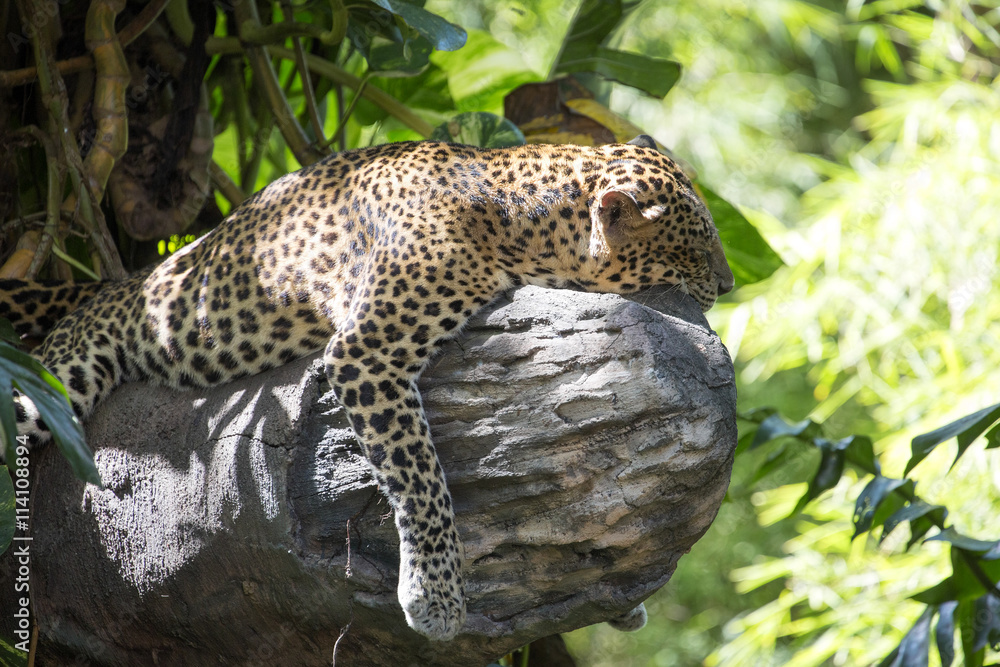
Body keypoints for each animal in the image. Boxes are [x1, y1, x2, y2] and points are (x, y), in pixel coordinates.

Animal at [1, 136, 734, 641]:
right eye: (698, 245)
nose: (729, 284)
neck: (517, 217)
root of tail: (118, 281)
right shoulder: (368, 351)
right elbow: (420, 475)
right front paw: (436, 595)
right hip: (52, 384)